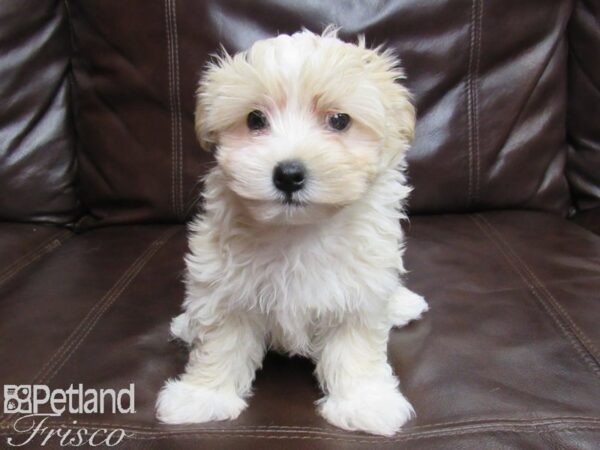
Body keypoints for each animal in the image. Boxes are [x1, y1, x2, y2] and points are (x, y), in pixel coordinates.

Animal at [155, 26, 426, 434]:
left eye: (339, 121)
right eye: (254, 120)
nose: (288, 174)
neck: (298, 231)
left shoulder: (358, 293)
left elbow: (355, 349)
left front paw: (365, 403)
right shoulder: (223, 285)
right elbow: (220, 344)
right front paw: (202, 397)